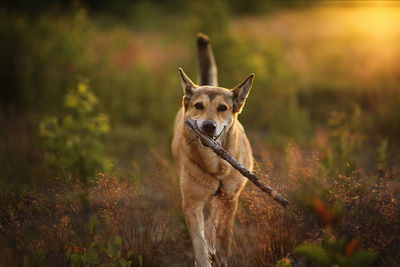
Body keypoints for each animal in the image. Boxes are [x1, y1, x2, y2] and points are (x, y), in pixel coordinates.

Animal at [171, 34, 253, 266]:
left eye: (222, 108)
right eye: (198, 106)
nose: (209, 126)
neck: (216, 165)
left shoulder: (230, 199)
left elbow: (223, 236)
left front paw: (221, 256)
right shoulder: (192, 202)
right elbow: (198, 243)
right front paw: (204, 257)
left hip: (224, 197)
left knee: (213, 220)